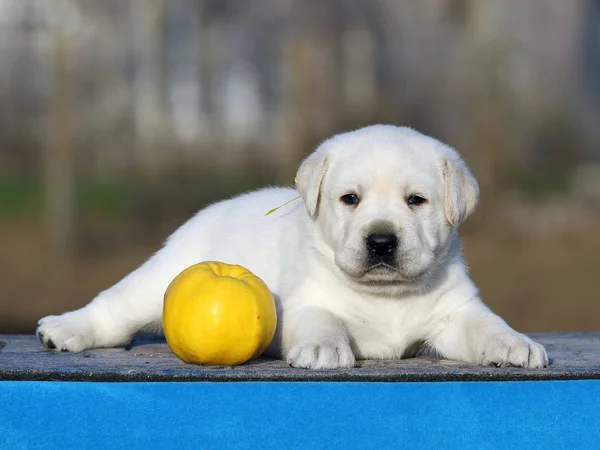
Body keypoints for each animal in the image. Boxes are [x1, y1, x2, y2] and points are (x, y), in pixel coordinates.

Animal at [37, 125, 548, 370]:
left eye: (416, 201)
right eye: (350, 199)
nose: (382, 241)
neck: (387, 296)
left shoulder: (454, 313)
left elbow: (487, 325)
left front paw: (516, 344)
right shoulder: (309, 301)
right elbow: (322, 320)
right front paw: (324, 348)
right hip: (158, 281)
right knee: (112, 310)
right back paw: (62, 328)